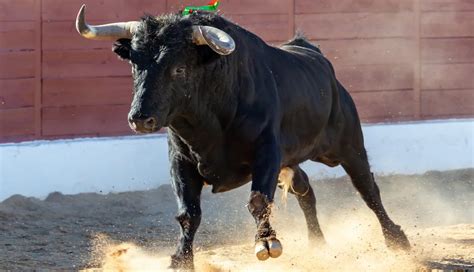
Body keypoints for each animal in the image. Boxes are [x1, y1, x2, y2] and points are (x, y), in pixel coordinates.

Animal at [76, 9, 410, 268]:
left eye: (179, 68)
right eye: (135, 64)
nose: (139, 119)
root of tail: (316, 56)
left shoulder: (267, 153)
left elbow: (258, 201)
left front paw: (266, 243)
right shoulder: (181, 161)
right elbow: (188, 214)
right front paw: (181, 259)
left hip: (349, 146)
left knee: (368, 189)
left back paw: (397, 239)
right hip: (294, 159)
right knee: (305, 190)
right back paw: (317, 243)